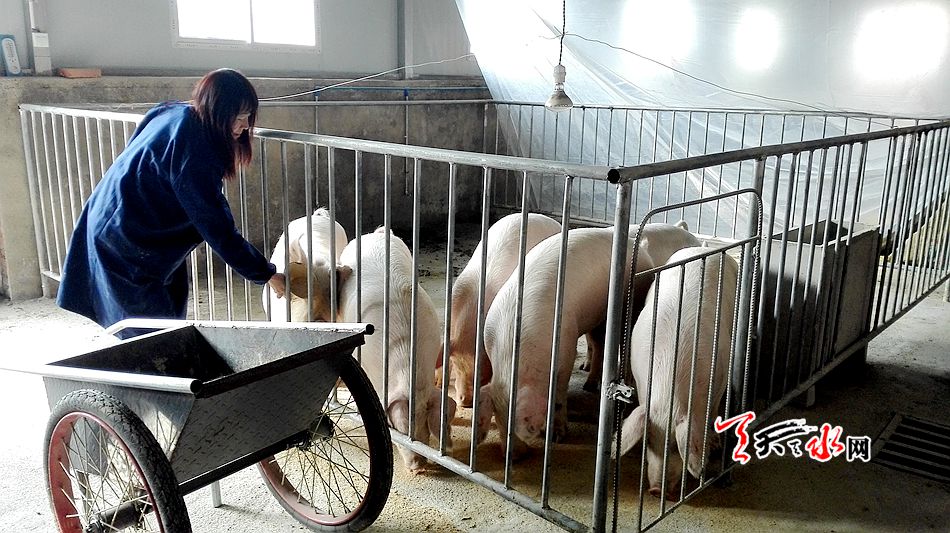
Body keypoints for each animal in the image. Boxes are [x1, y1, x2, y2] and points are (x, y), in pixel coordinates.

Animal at [475, 226, 657, 454]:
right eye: (498, 420)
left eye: (519, 424)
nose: (513, 456)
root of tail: (641, 248)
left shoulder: (567, 347)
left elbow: (560, 393)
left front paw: (558, 436)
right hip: (597, 317)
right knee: (599, 345)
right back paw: (589, 385)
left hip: (632, 303)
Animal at [616, 246, 738, 499]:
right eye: (648, 443)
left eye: (676, 448)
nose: (656, 490)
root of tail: (703, 247)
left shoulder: (720, 376)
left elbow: (713, 410)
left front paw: (714, 443)